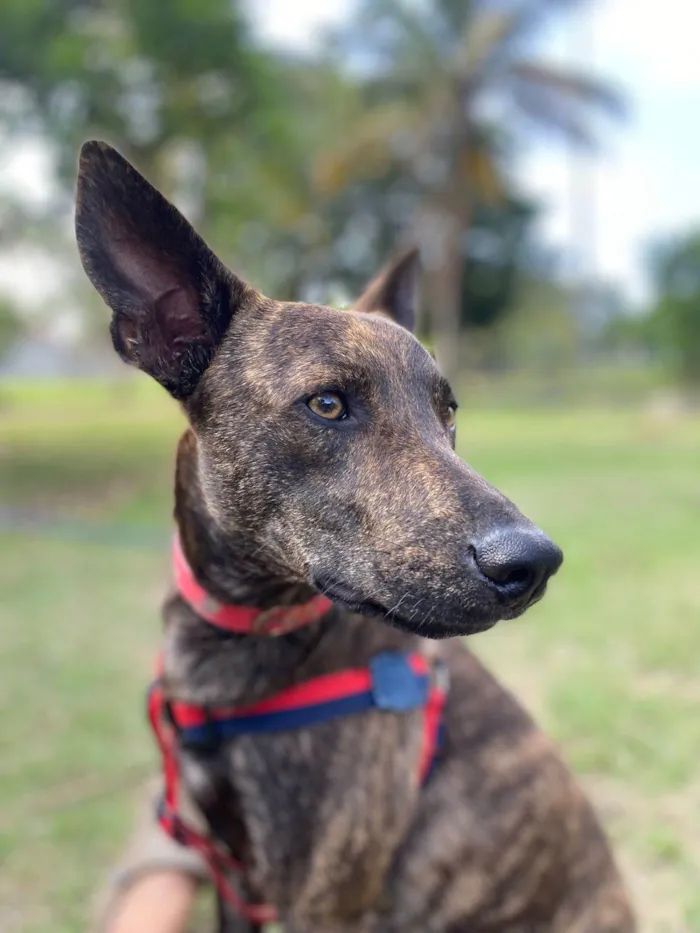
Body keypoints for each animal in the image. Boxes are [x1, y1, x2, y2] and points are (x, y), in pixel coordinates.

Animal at [75, 140, 636, 932]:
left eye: (447, 411)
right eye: (328, 404)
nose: (535, 562)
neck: (241, 638)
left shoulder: (324, 900)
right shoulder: (232, 878)